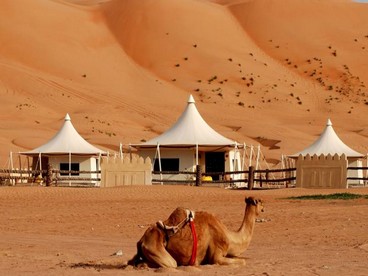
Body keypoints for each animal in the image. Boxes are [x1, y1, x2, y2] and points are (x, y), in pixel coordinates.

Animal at [128, 196, 264, 268]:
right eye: (260, 202)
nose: (264, 208)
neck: (230, 237)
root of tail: (141, 241)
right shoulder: (217, 254)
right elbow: (241, 261)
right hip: (157, 249)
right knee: (171, 264)